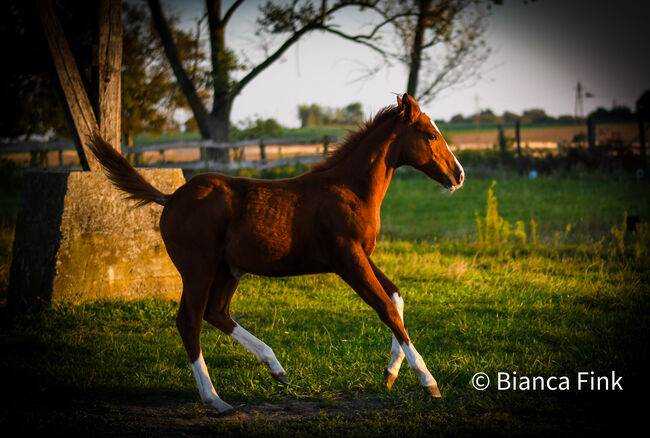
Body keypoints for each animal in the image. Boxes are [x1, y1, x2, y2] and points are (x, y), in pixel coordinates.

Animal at [90, 94, 460, 412]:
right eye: (430, 135)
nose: (458, 175)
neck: (348, 189)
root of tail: (170, 198)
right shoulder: (347, 259)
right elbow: (386, 308)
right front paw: (428, 382)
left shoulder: (361, 255)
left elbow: (397, 298)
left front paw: (390, 373)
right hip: (198, 269)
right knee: (190, 320)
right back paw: (216, 399)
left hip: (228, 270)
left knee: (216, 312)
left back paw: (276, 368)